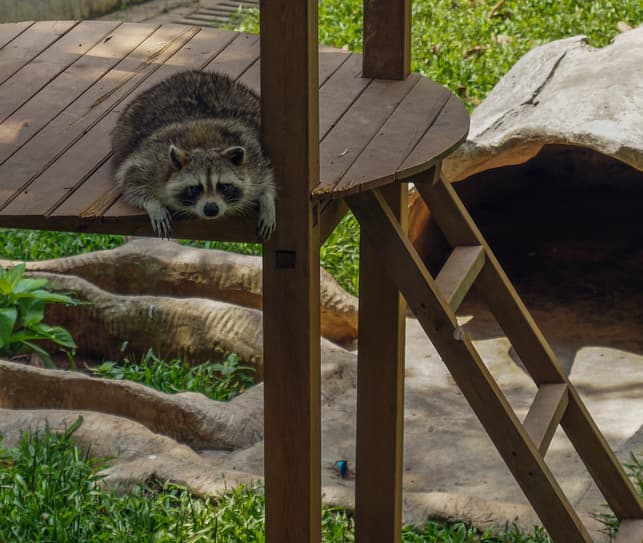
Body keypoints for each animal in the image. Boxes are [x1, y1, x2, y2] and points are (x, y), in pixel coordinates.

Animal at [111, 70, 276, 240]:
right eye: (194, 188)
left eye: (224, 186)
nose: (211, 209)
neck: (204, 146)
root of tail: (191, 73)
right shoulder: (153, 161)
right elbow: (129, 179)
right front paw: (154, 204)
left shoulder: (252, 153)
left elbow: (266, 177)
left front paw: (267, 200)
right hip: (128, 122)